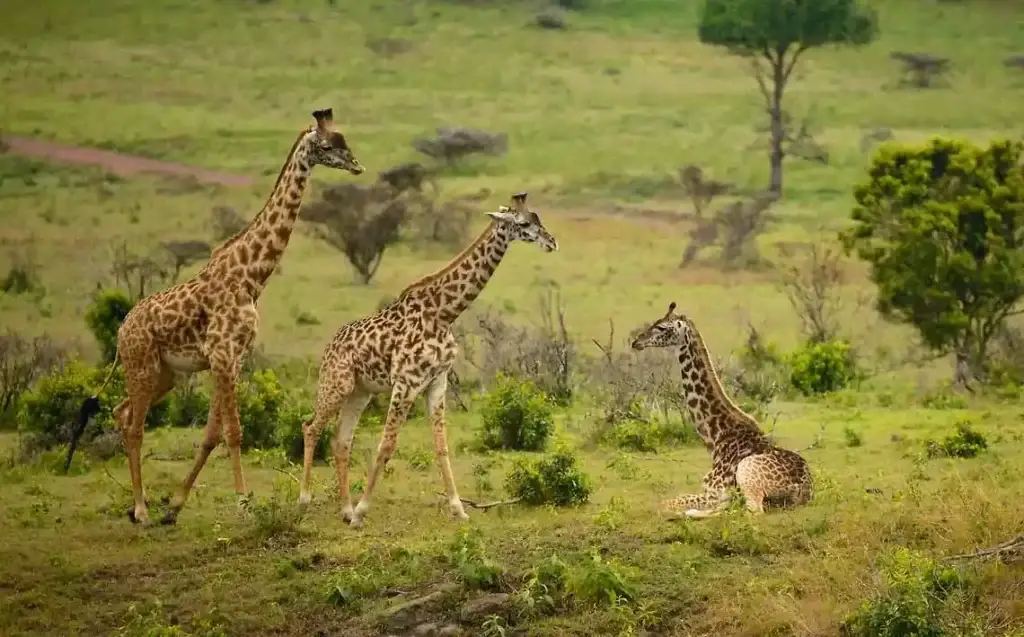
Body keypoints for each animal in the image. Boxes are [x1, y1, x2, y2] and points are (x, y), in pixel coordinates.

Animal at [64, 108, 365, 527]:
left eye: (343, 140)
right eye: (325, 145)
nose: (356, 165)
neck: (251, 276)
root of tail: (123, 329)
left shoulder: (231, 358)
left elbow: (211, 434)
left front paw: (175, 506)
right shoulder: (222, 355)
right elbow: (234, 432)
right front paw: (244, 505)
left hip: (165, 374)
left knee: (122, 413)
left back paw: (139, 505)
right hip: (142, 365)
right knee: (135, 425)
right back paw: (140, 509)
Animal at [297, 192, 559, 528]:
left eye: (538, 219)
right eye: (525, 223)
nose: (552, 242)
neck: (444, 313)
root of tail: (330, 347)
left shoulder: (437, 382)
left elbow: (441, 447)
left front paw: (459, 509)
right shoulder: (406, 383)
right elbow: (386, 445)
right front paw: (362, 511)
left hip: (360, 393)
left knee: (341, 442)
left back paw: (344, 509)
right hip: (336, 384)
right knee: (310, 427)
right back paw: (306, 501)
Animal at [630, 302, 813, 519]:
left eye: (661, 327)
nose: (637, 342)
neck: (716, 436)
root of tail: (804, 491)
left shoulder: (715, 490)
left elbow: (663, 503)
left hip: (747, 474)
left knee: (751, 511)